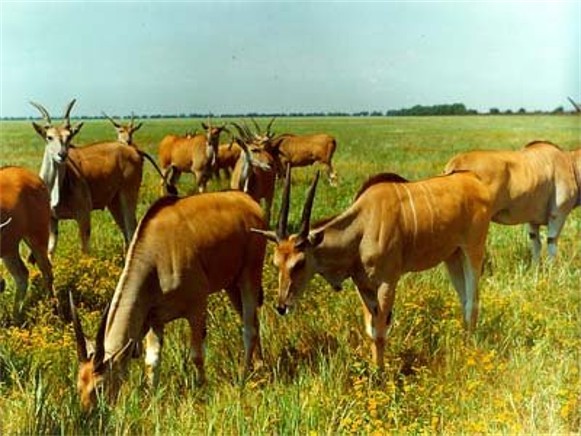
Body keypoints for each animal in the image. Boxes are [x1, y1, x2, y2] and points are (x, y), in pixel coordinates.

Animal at [0, 165, 53, 318]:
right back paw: (16, 317)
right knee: (22, 275)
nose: (0, 284)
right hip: (10, 247)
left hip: (37, 237)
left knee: (47, 271)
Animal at [29, 100, 148, 254]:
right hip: (114, 202)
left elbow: (85, 250)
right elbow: (50, 250)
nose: (62, 155)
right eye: (49, 137)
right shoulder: (52, 219)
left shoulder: (84, 215)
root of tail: (133, 150)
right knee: (126, 232)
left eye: (69, 136)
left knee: (132, 229)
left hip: (128, 195)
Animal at [70, 190, 268, 408]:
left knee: (249, 329)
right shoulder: (155, 318)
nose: (87, 414)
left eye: (99, 386)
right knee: (254, 322)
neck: (155, 255)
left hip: (250, 275)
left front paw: (202, 390)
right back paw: (259, 367)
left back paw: (243, 378)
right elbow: (152, 361)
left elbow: (197, 355)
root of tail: (249, 202)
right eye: (79, 386)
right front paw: (152, 400)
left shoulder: (197, 306)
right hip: (231, 285)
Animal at [253, 167, 490, 368]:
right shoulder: (363, 286)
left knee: (473, 302)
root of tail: (474, 180)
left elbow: (381, 333)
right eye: (276, 263)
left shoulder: (387, 283)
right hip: (453, 257)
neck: (363, 226)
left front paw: (381, 376)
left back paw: (468, 352)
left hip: (472, 251)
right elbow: (371, 329)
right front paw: (375, 371)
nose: (282, 306)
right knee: (464, 300)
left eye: (299, 263)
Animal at [444, 141, 576, 260]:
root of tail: (457, 161)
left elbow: (536, 245)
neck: (569, 162)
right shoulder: (558, 214)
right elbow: (551, 243)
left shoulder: (532, 221)